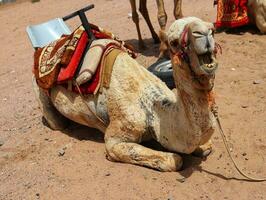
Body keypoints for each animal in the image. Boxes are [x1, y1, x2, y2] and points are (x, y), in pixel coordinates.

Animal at [32, 16, 218, 171]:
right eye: (173, 42)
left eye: (212, 30)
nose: (204, 33)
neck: (152, 107)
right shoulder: (117, 137)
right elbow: (175, 160)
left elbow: (206, 146)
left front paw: (203, 147)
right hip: (41, 93)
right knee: (57, 123)